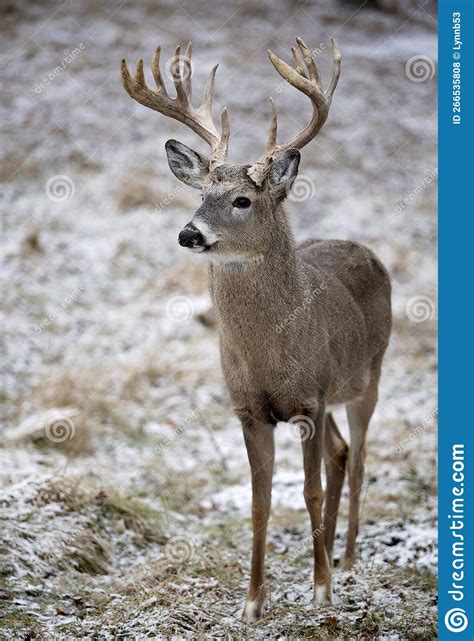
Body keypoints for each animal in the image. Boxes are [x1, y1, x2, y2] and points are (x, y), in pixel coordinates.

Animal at [122, 38, 392, 620]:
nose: (189, 233)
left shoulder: (309, 401)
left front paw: (320, 592)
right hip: (329, 395)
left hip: (368, 377)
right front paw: (252, 603)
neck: (270, 353)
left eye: (242, 200)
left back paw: (347, 562)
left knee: (359, 458)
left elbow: (309, 491)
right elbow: (259, 502)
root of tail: (364, 248)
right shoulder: (251, 409)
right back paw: (329, 552)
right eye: (200, 195)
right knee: (340, 454)